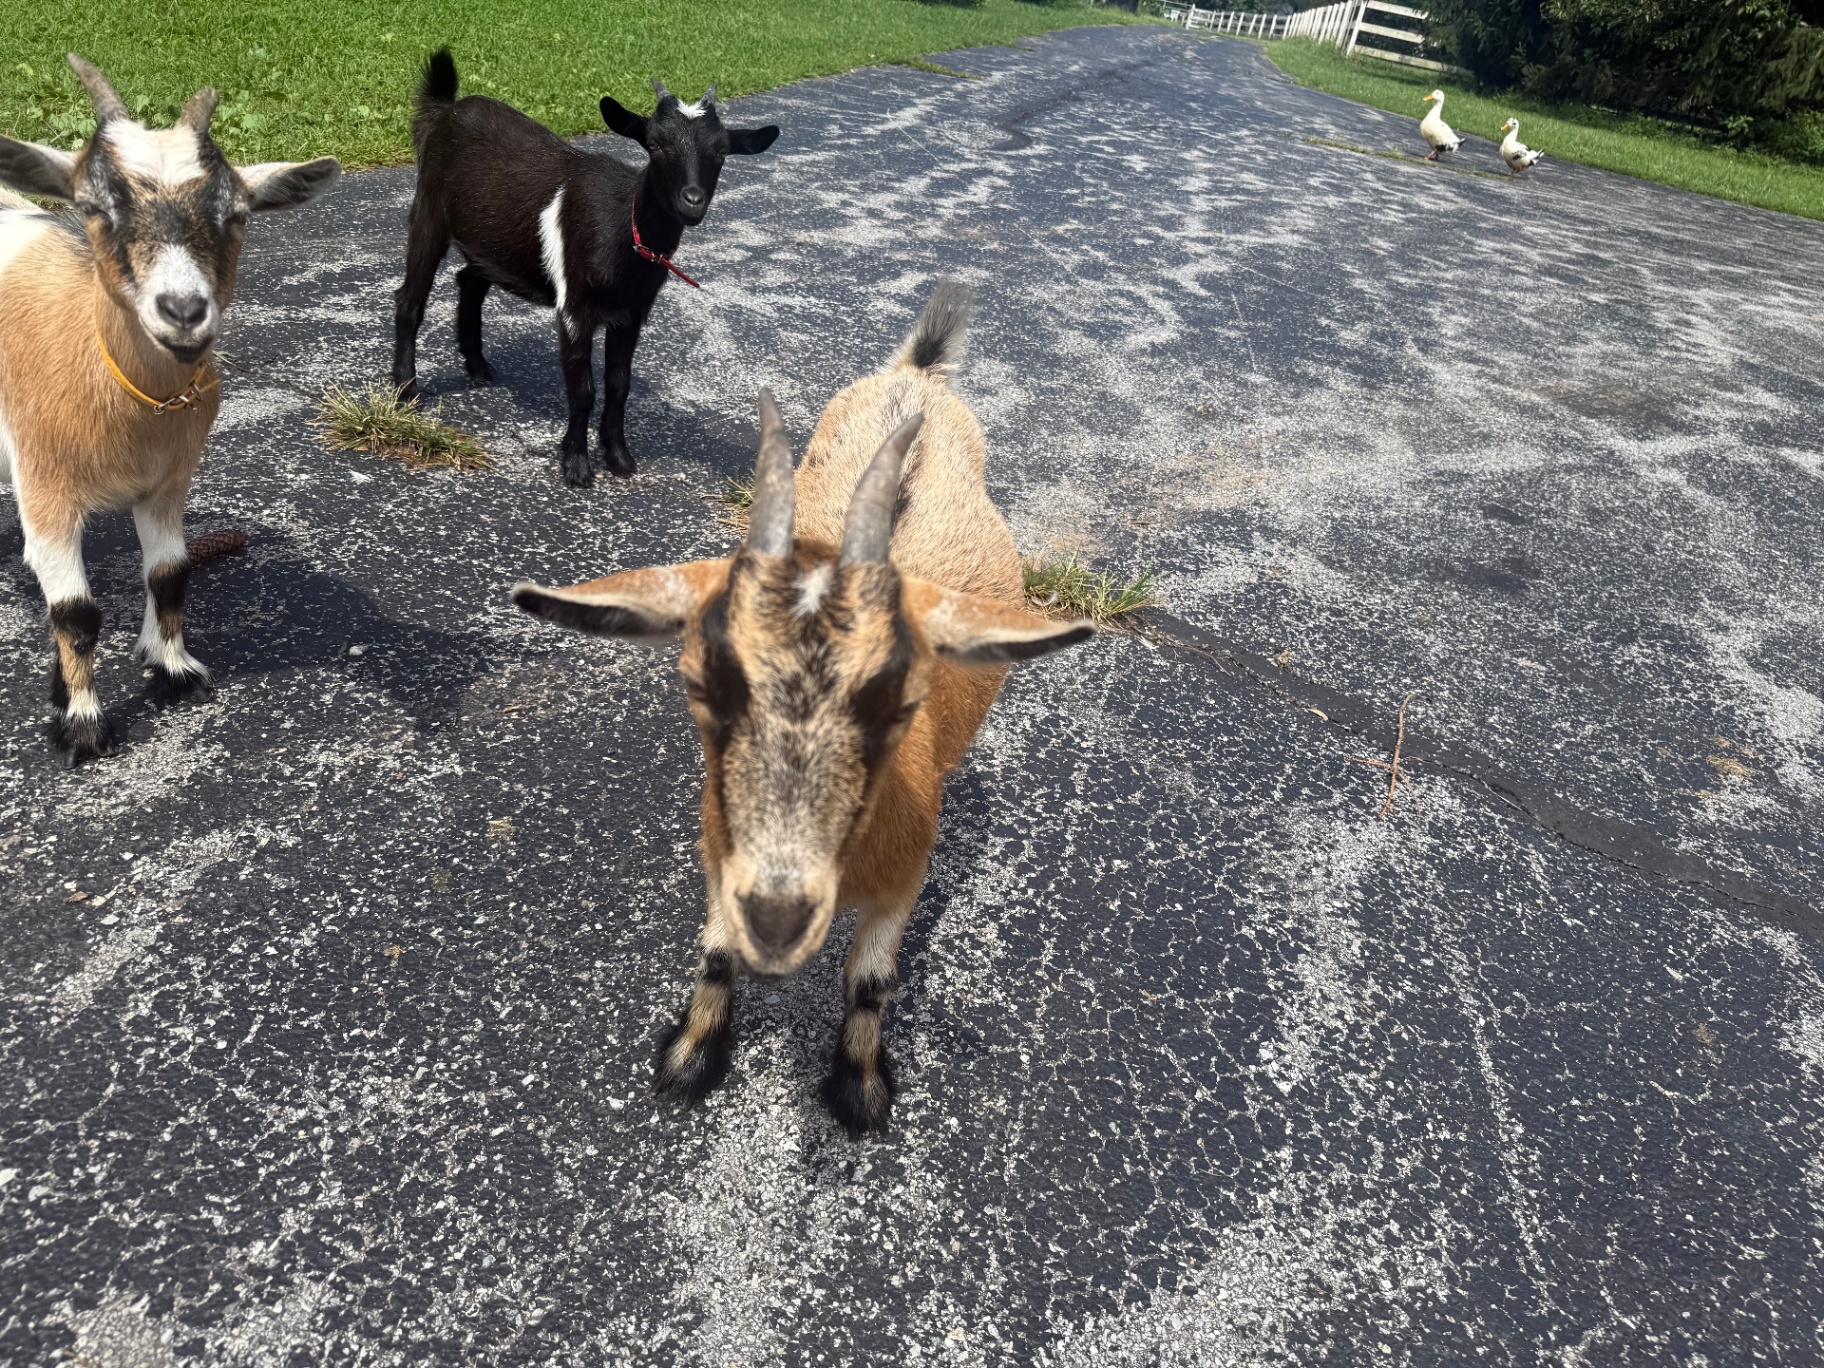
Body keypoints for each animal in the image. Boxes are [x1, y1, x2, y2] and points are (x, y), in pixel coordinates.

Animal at [0, 56, 340, 765]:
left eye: (237, 214)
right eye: (92, 206)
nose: (184, 311)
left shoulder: (166, 483)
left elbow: (169, 575)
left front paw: (174, 669)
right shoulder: (45, 485)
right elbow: (75, 613)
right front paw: (82, 723)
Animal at [393, 51, 779, 488]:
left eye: (721, 151)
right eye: (654, 144)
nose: (692, 200)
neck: (624, 231)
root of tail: (444, 111)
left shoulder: (631, 314)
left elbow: (619, 386)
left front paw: (619, 458)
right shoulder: (575, 309)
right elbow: (583, 391)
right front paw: (576, 465)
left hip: (492, 242)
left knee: (470, 281)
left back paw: (477, 366)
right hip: (429, 212)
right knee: (410, 299)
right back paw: (406, 391)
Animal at [513, 282, 1095, 1135]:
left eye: (900, 700)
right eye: (702, 688)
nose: (779, 914)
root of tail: (918, 376)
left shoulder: (904, 879)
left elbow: (871, 980)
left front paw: (859, 1090)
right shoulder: (723, 855)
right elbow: (717, 950)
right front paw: (691, 1058)